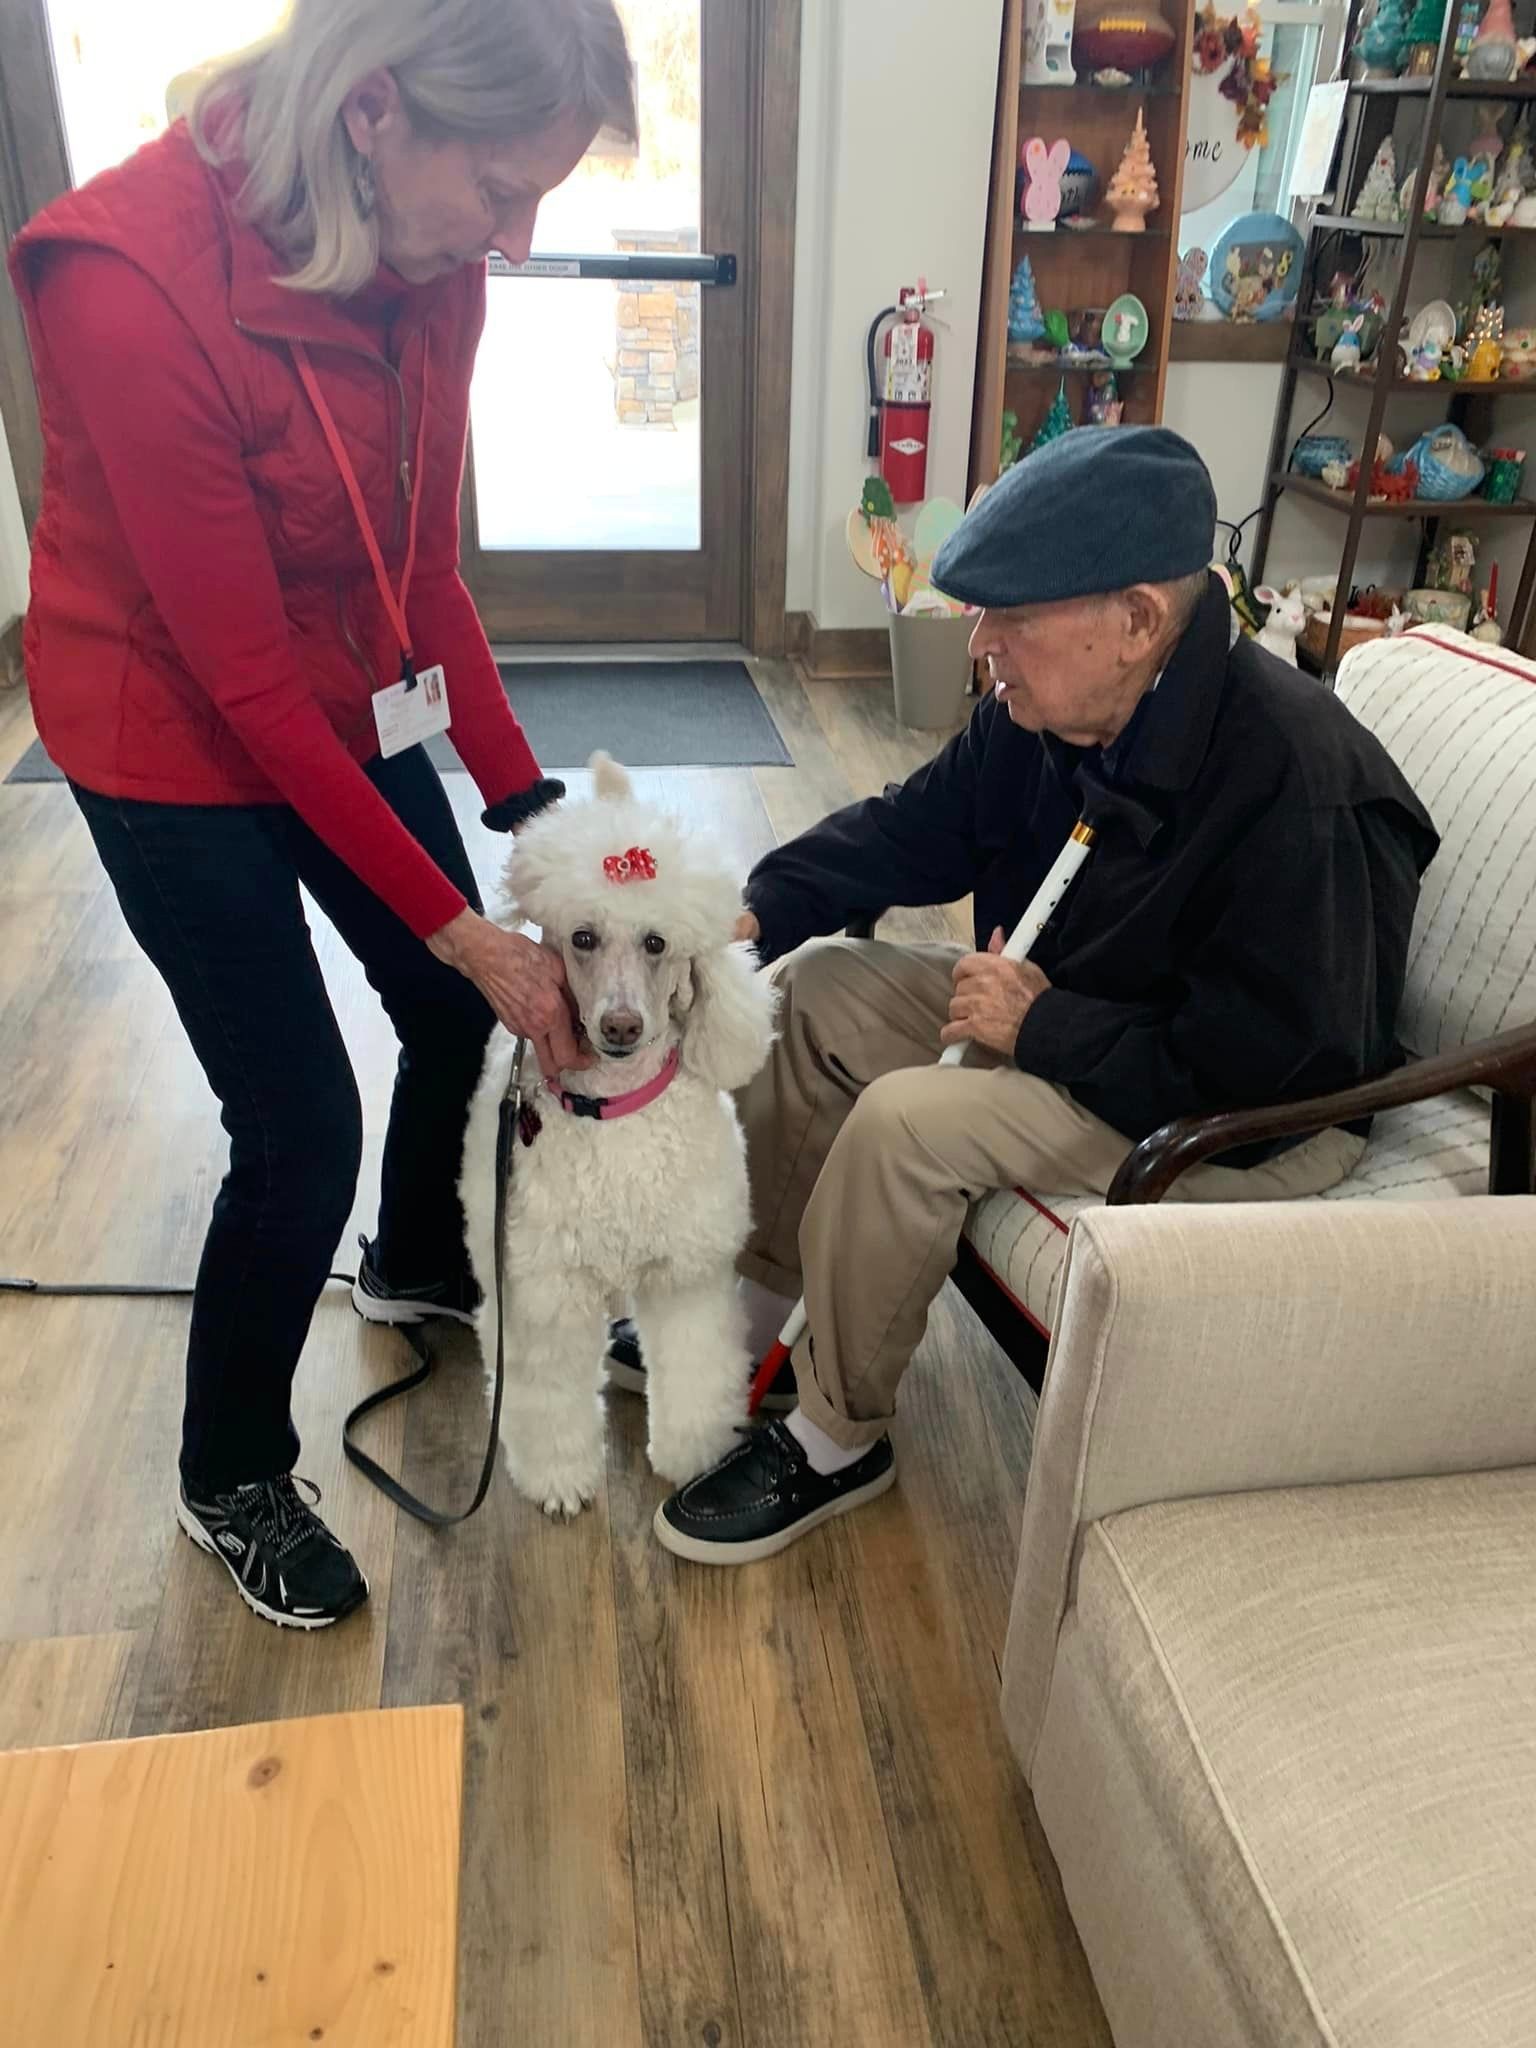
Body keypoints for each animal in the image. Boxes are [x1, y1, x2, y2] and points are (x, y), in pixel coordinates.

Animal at [459, 755, 777, 1519]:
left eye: (657, 944)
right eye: (583, 938)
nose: (622, 1027)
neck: (617, 1110)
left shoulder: (687, 1276)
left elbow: (695, 1367)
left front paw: (696, 1454)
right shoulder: (546, 1290)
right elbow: (548, 1395)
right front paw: (558, 1479)